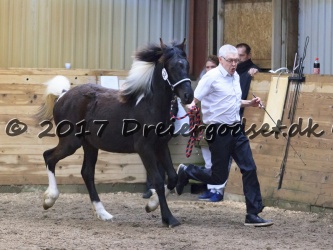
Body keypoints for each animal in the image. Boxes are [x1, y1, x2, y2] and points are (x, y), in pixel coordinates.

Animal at [35, 38, 193, 228]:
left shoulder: (161, 146)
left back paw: (103, 213)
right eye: (172, 67)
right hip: (70, 143)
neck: (149, 105)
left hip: (90, 145)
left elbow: (173, 177)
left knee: (87, 173)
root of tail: (62, 95)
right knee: (49, 157)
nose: (188, 96)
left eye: (187, 64)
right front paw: (169, 218)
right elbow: (158, 179)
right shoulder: (145, 148)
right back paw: (49, 199)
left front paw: (151, 205)